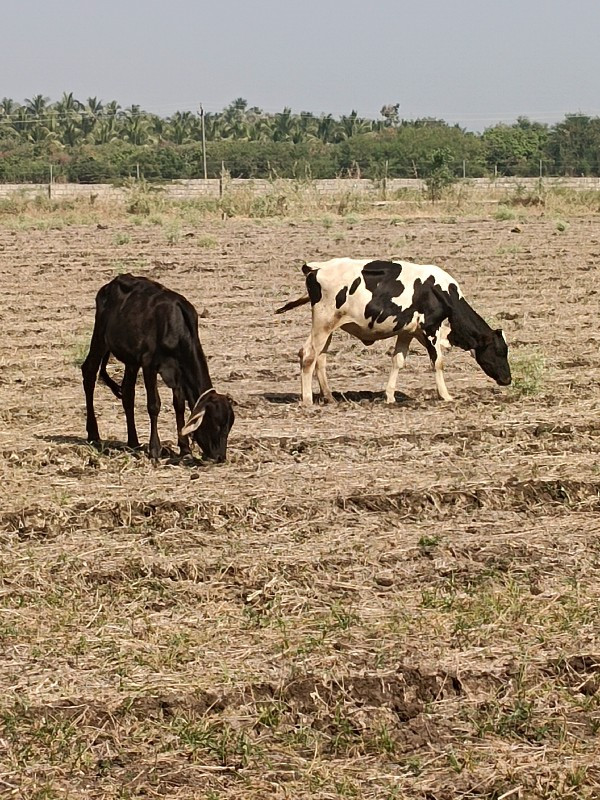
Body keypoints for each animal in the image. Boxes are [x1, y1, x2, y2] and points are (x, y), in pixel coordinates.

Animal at [81, 276, 234, 460]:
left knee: (128, 393)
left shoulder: (178, 371)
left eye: (229, 427)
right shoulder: (149, 364)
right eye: (216, 424)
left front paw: (185, 448)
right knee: (89, 373)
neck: (175, 327)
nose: (220, 457)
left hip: (131, 361)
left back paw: (133, 441)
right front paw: (155, 449)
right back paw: (93, 433)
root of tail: (111, 284)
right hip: (100, 338)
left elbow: (179, 405)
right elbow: (154, 405)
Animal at [276, 258, 510, 406]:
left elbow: (398, 361)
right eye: (499, 351)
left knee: (319, 358)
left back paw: (329, 397)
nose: (508, 379)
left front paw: (389, 397)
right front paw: (446, 396)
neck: (442, 292)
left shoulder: (409, 331)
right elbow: (438, 363)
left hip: (328, 326)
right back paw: (307, 400)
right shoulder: (430, 328)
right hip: (323, 323)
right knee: (309, 355)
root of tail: (317, 267)